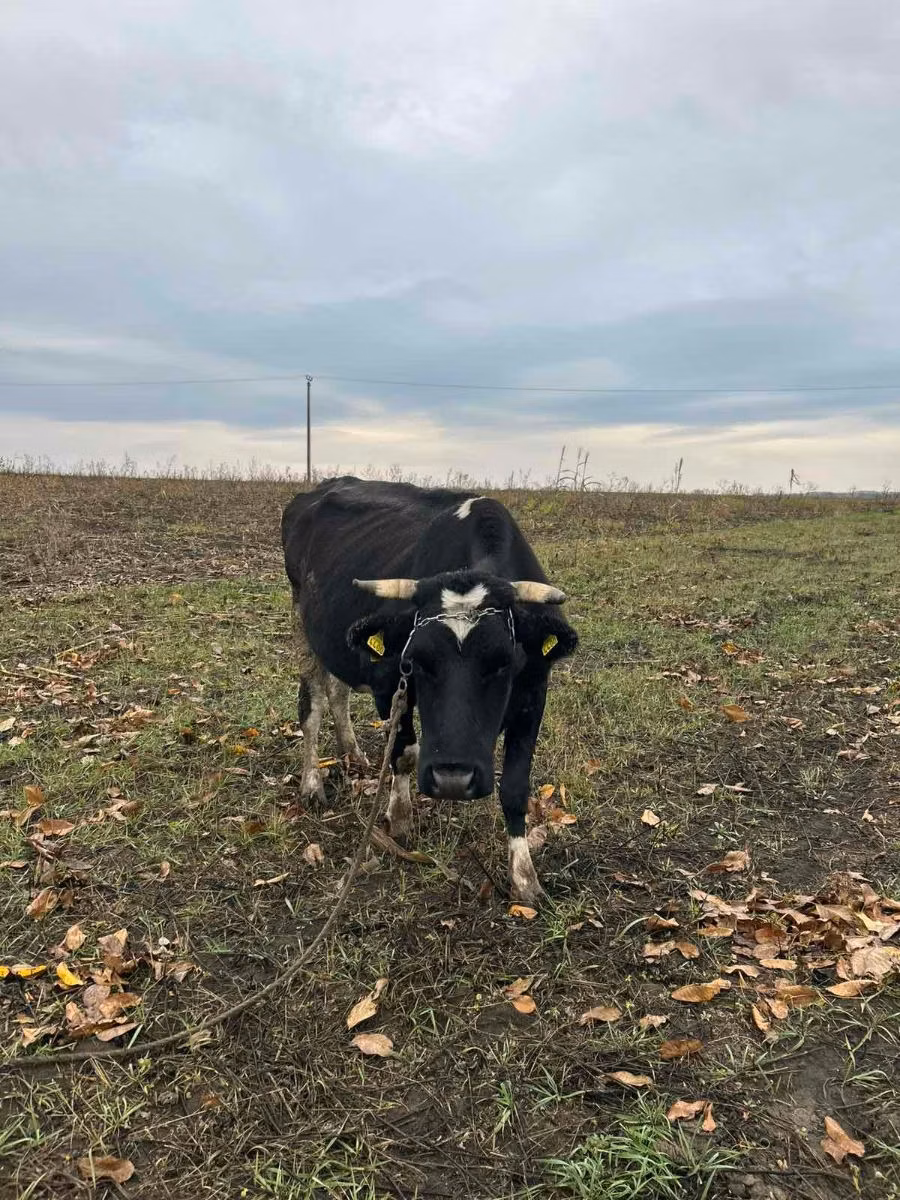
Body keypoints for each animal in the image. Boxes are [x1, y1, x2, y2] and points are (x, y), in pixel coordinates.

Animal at [281, 476, 577, 904]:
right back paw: (311, 785)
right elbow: (405, 752)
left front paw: (525, 878)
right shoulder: (390, 682)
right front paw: (401, 818)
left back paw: (353, 753)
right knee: (313, 706)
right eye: (418, 659)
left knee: (338, 692)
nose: (454, 780)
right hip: (302, 626)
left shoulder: (534, 694)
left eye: (503, 661)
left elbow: (516, 787)